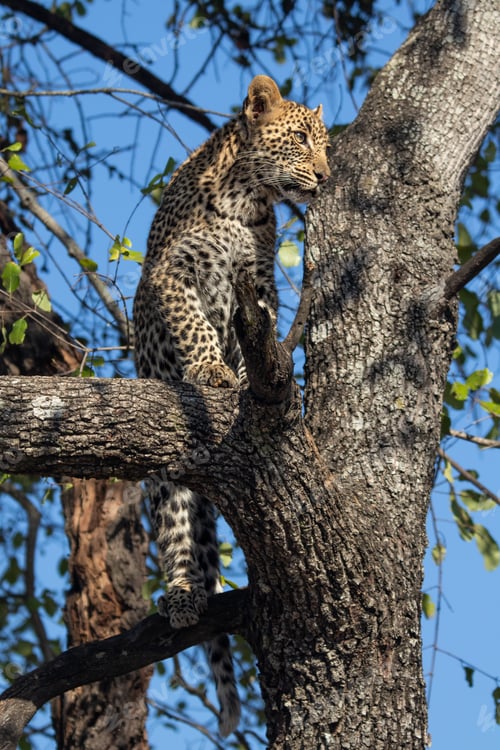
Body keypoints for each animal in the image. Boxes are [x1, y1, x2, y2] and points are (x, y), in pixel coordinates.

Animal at [133, 74, 330, 737]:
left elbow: (257, 338)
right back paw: (182, 594)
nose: (327, 175)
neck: (246, 202)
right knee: (176, 528)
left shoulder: (259, 286)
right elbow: (193, 326)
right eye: (301, 140)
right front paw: (211, 371)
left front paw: (244, 382)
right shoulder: (169, 276)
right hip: (167, 482)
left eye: (325, 143)